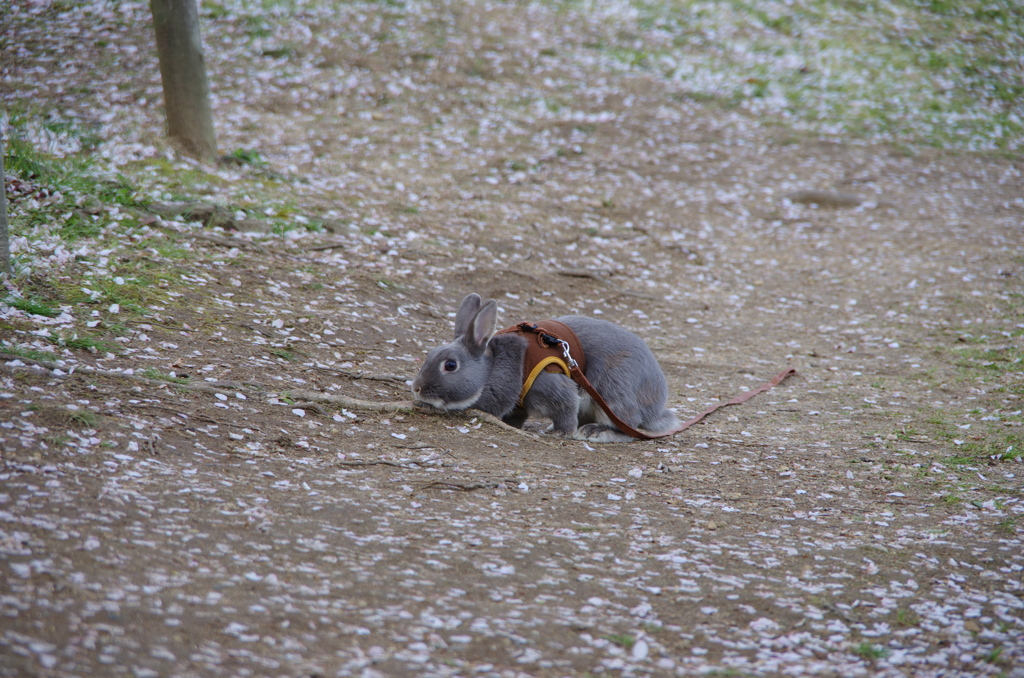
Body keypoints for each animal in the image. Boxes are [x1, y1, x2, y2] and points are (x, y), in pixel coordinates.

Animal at [411, 292, 675, 444]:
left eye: (450, 365)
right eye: (430, 354)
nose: (417, 389)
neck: (491, 368)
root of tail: (656, 406)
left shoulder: (553, 386)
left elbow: (566, 406)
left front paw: (561, 433)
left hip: (613, 391)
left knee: (628, 427)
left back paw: (594, 432)